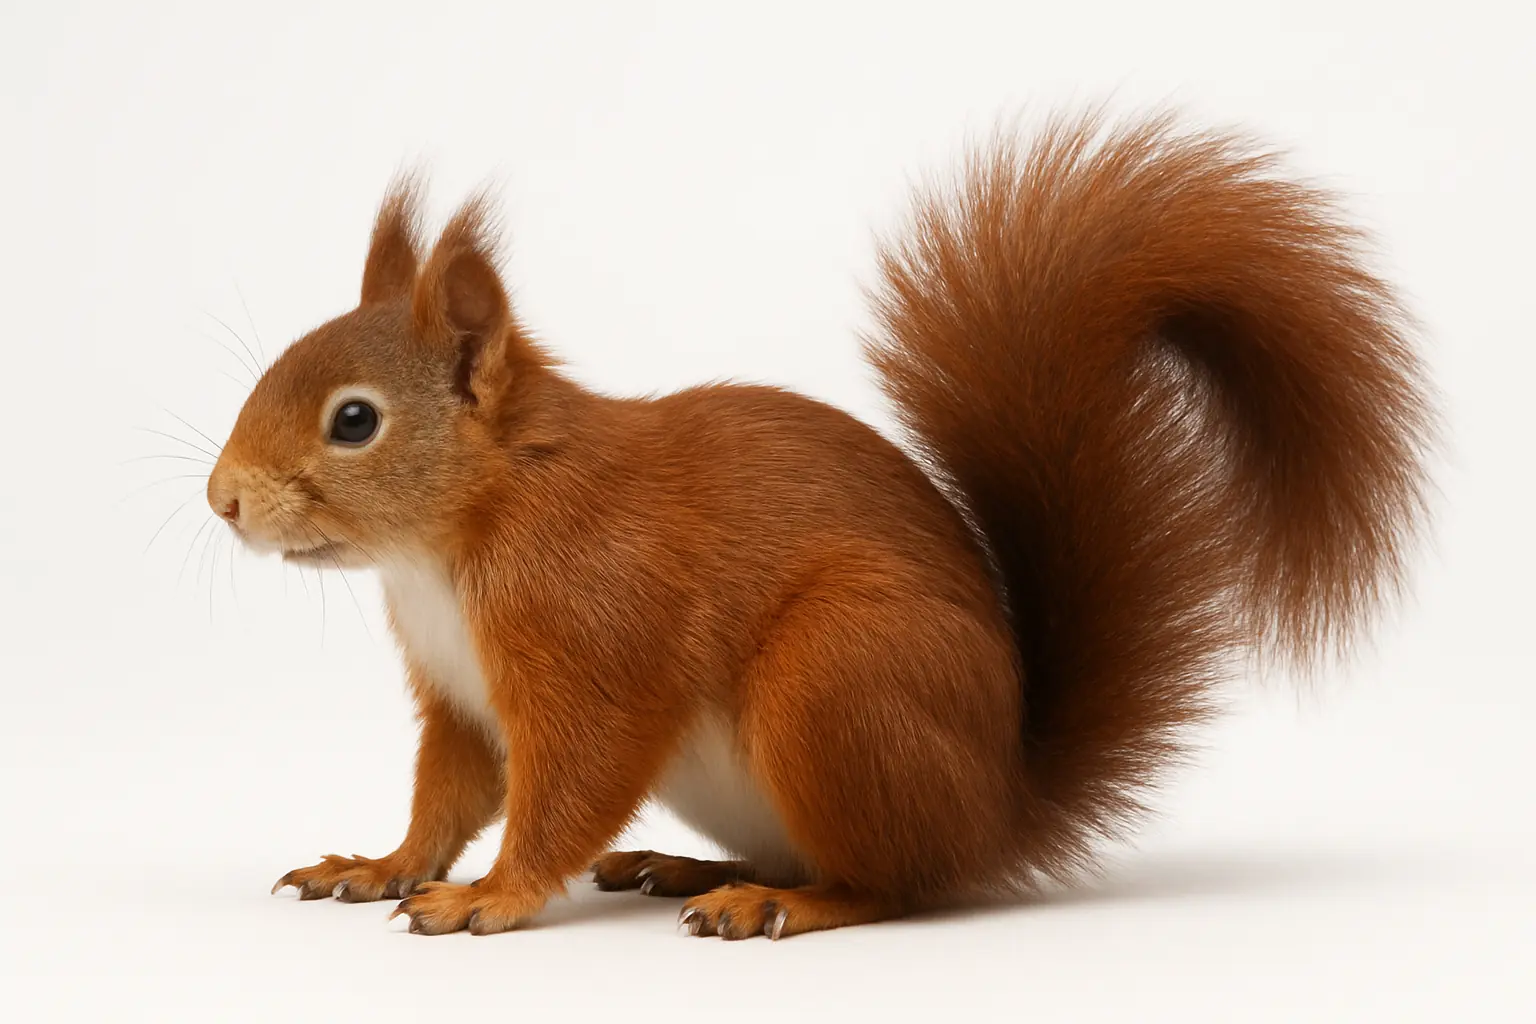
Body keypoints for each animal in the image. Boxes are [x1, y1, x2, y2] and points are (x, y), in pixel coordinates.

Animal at [208, 110, 1433, 940]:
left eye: (354, 421)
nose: (222, 500)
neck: (457, 537)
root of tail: (999, 810)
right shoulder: (458, 694)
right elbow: (450, 790)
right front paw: (379, 863)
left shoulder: (597, 631)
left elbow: (570, 785)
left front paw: (494, 894)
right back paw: (689, 868)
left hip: (836, 678)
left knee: (893, 884)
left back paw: (773, 904)